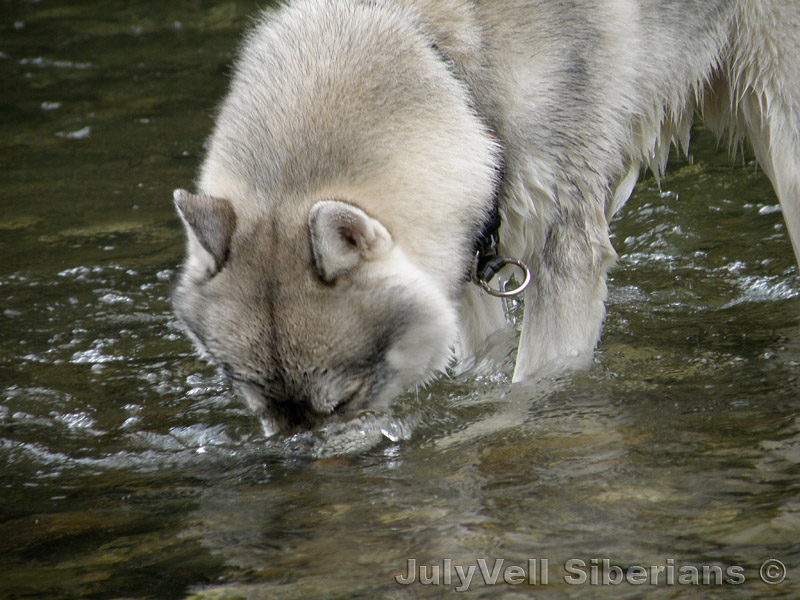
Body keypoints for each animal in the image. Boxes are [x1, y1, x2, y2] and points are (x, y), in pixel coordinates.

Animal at [172, 0, 800, 436]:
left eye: (344, 400)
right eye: (265, 412)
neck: (448, 68)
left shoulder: (566, 248)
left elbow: (535, 382)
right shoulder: (469, 252)